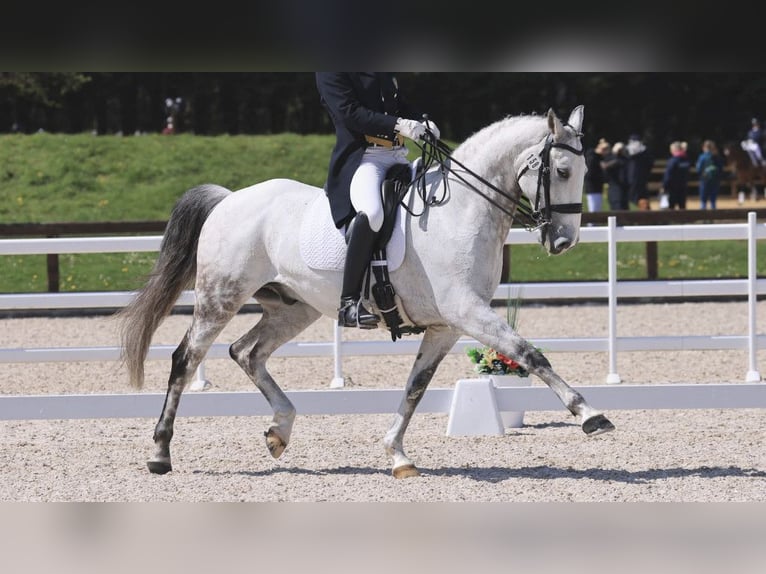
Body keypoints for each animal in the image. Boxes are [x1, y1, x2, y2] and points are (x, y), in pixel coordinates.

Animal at [118, 106, 616, 480]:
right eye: (563, 170)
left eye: (585, 170)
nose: (564, 241)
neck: (461, 210)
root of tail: (229, 198)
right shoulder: (467, 311)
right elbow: (530, 354)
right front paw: (590, 414)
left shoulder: (446, 326)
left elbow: (416, 387)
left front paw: (397, 455)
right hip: (221, 297)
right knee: (186, 359)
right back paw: (160, 454)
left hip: (294, 308)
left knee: (246, 351)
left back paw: (280, 430)